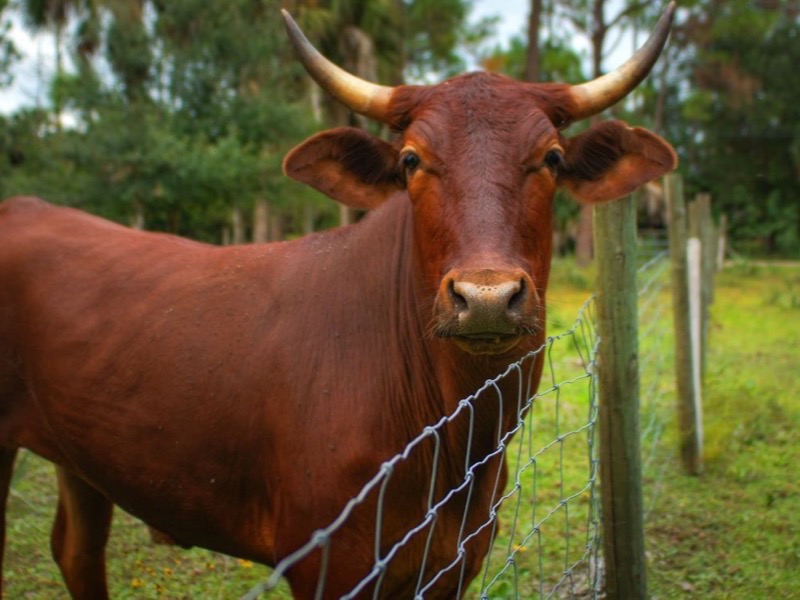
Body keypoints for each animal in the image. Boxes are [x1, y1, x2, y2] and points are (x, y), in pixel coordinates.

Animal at [0, 4, 677, 598]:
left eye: (552, 158)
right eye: (411, 160)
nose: (486, 297)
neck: (456, 446)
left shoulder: (452, 567)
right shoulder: (330, 568)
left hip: (85, 454)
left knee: (77, 551)